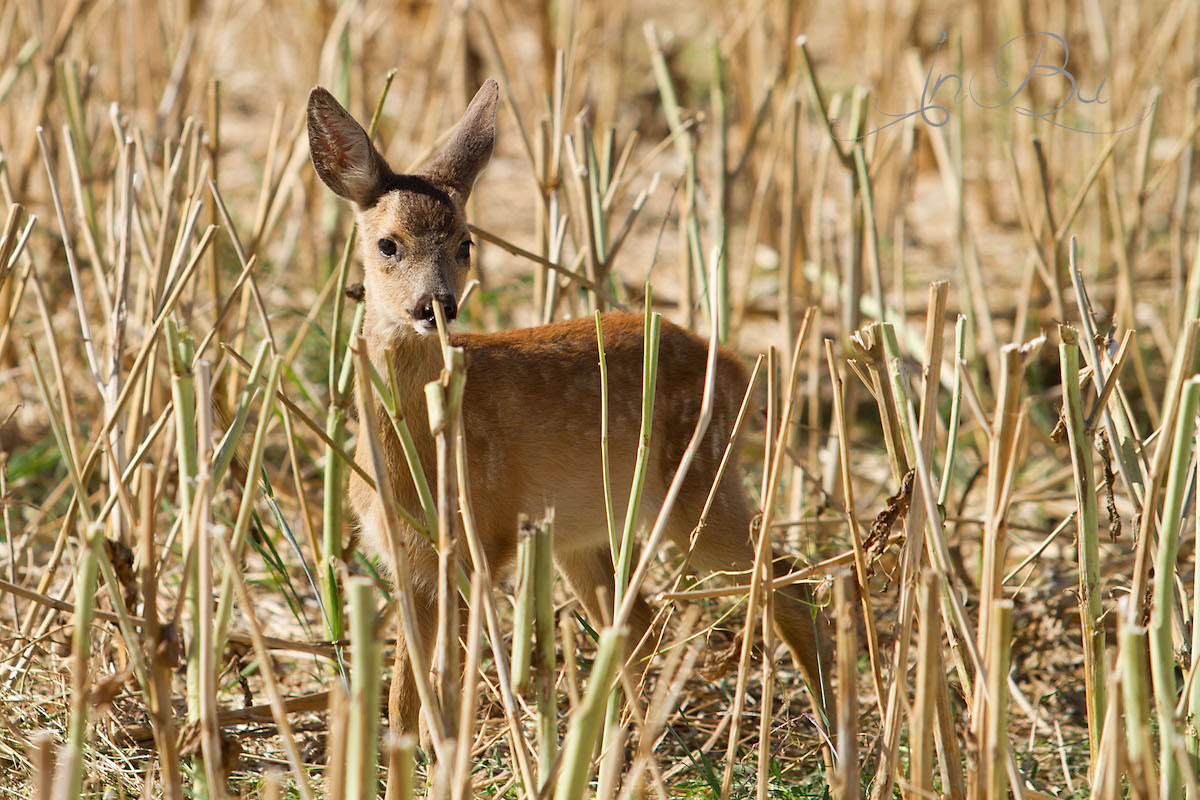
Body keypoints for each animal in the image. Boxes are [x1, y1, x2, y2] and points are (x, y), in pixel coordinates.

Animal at [307, 79, 835, 743]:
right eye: (387, 244)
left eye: (465, 243)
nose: (436, 305)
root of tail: (741, 370)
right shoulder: (409, 560)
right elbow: (405, 699)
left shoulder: (484, 539)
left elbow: (449, 681)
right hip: (585, 535)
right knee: (642, 623)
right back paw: (622, 738)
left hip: (697, 487)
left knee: (790, 581)